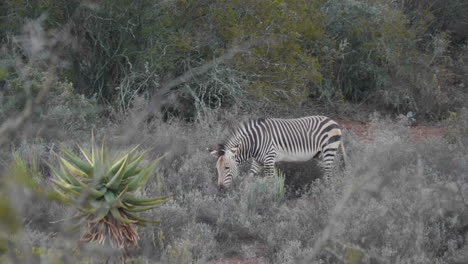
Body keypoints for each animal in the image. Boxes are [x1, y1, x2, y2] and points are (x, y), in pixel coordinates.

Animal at [208, 115, 348, 188]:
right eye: (217, 168)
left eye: (226, 167)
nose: (220, 188)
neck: (253, 143)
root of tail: (334, 122)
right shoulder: (257, 161)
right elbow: (249, 177)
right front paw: (246, 193)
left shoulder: (269, 159)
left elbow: (270, 181)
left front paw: (270, 198)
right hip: (321, 154)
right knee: (331, 171)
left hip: (329, 149)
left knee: (329, 173)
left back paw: (327, 191)